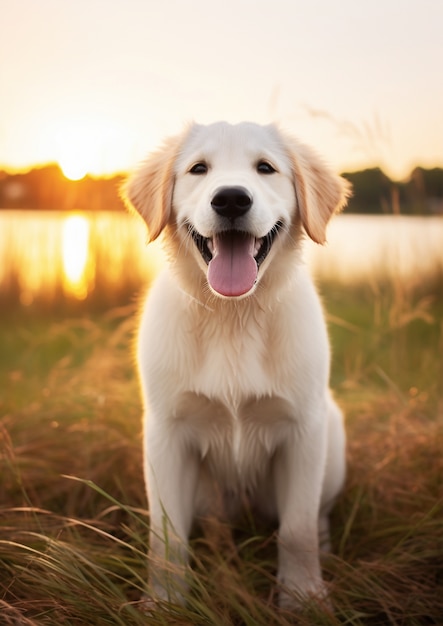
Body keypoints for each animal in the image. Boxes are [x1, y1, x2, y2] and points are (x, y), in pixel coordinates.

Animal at [123, 119, 352, 608]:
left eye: (265, 168)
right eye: (198, 169)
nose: (230, 199)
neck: (233, 314)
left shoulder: (303, 431)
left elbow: (297, 529)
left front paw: (303, 598)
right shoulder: (166, 435)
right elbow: (166, 537)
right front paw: (165, 603)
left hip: (332, 439)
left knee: (318, 516)